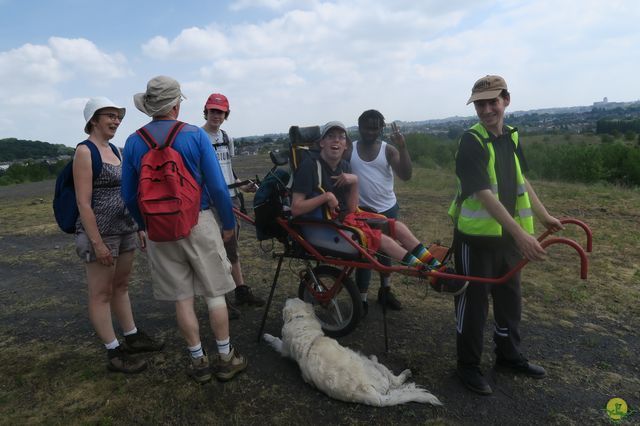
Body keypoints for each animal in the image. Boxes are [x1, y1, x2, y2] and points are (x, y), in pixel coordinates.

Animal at [262, 298, 440, 408]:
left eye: (291, 299)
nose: (287, 298)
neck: (300, 320)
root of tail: (374, 395)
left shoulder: (285, 348)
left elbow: (276, 340)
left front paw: (267, 336)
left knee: (394, 380)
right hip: (374, 369)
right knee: (395, 381)